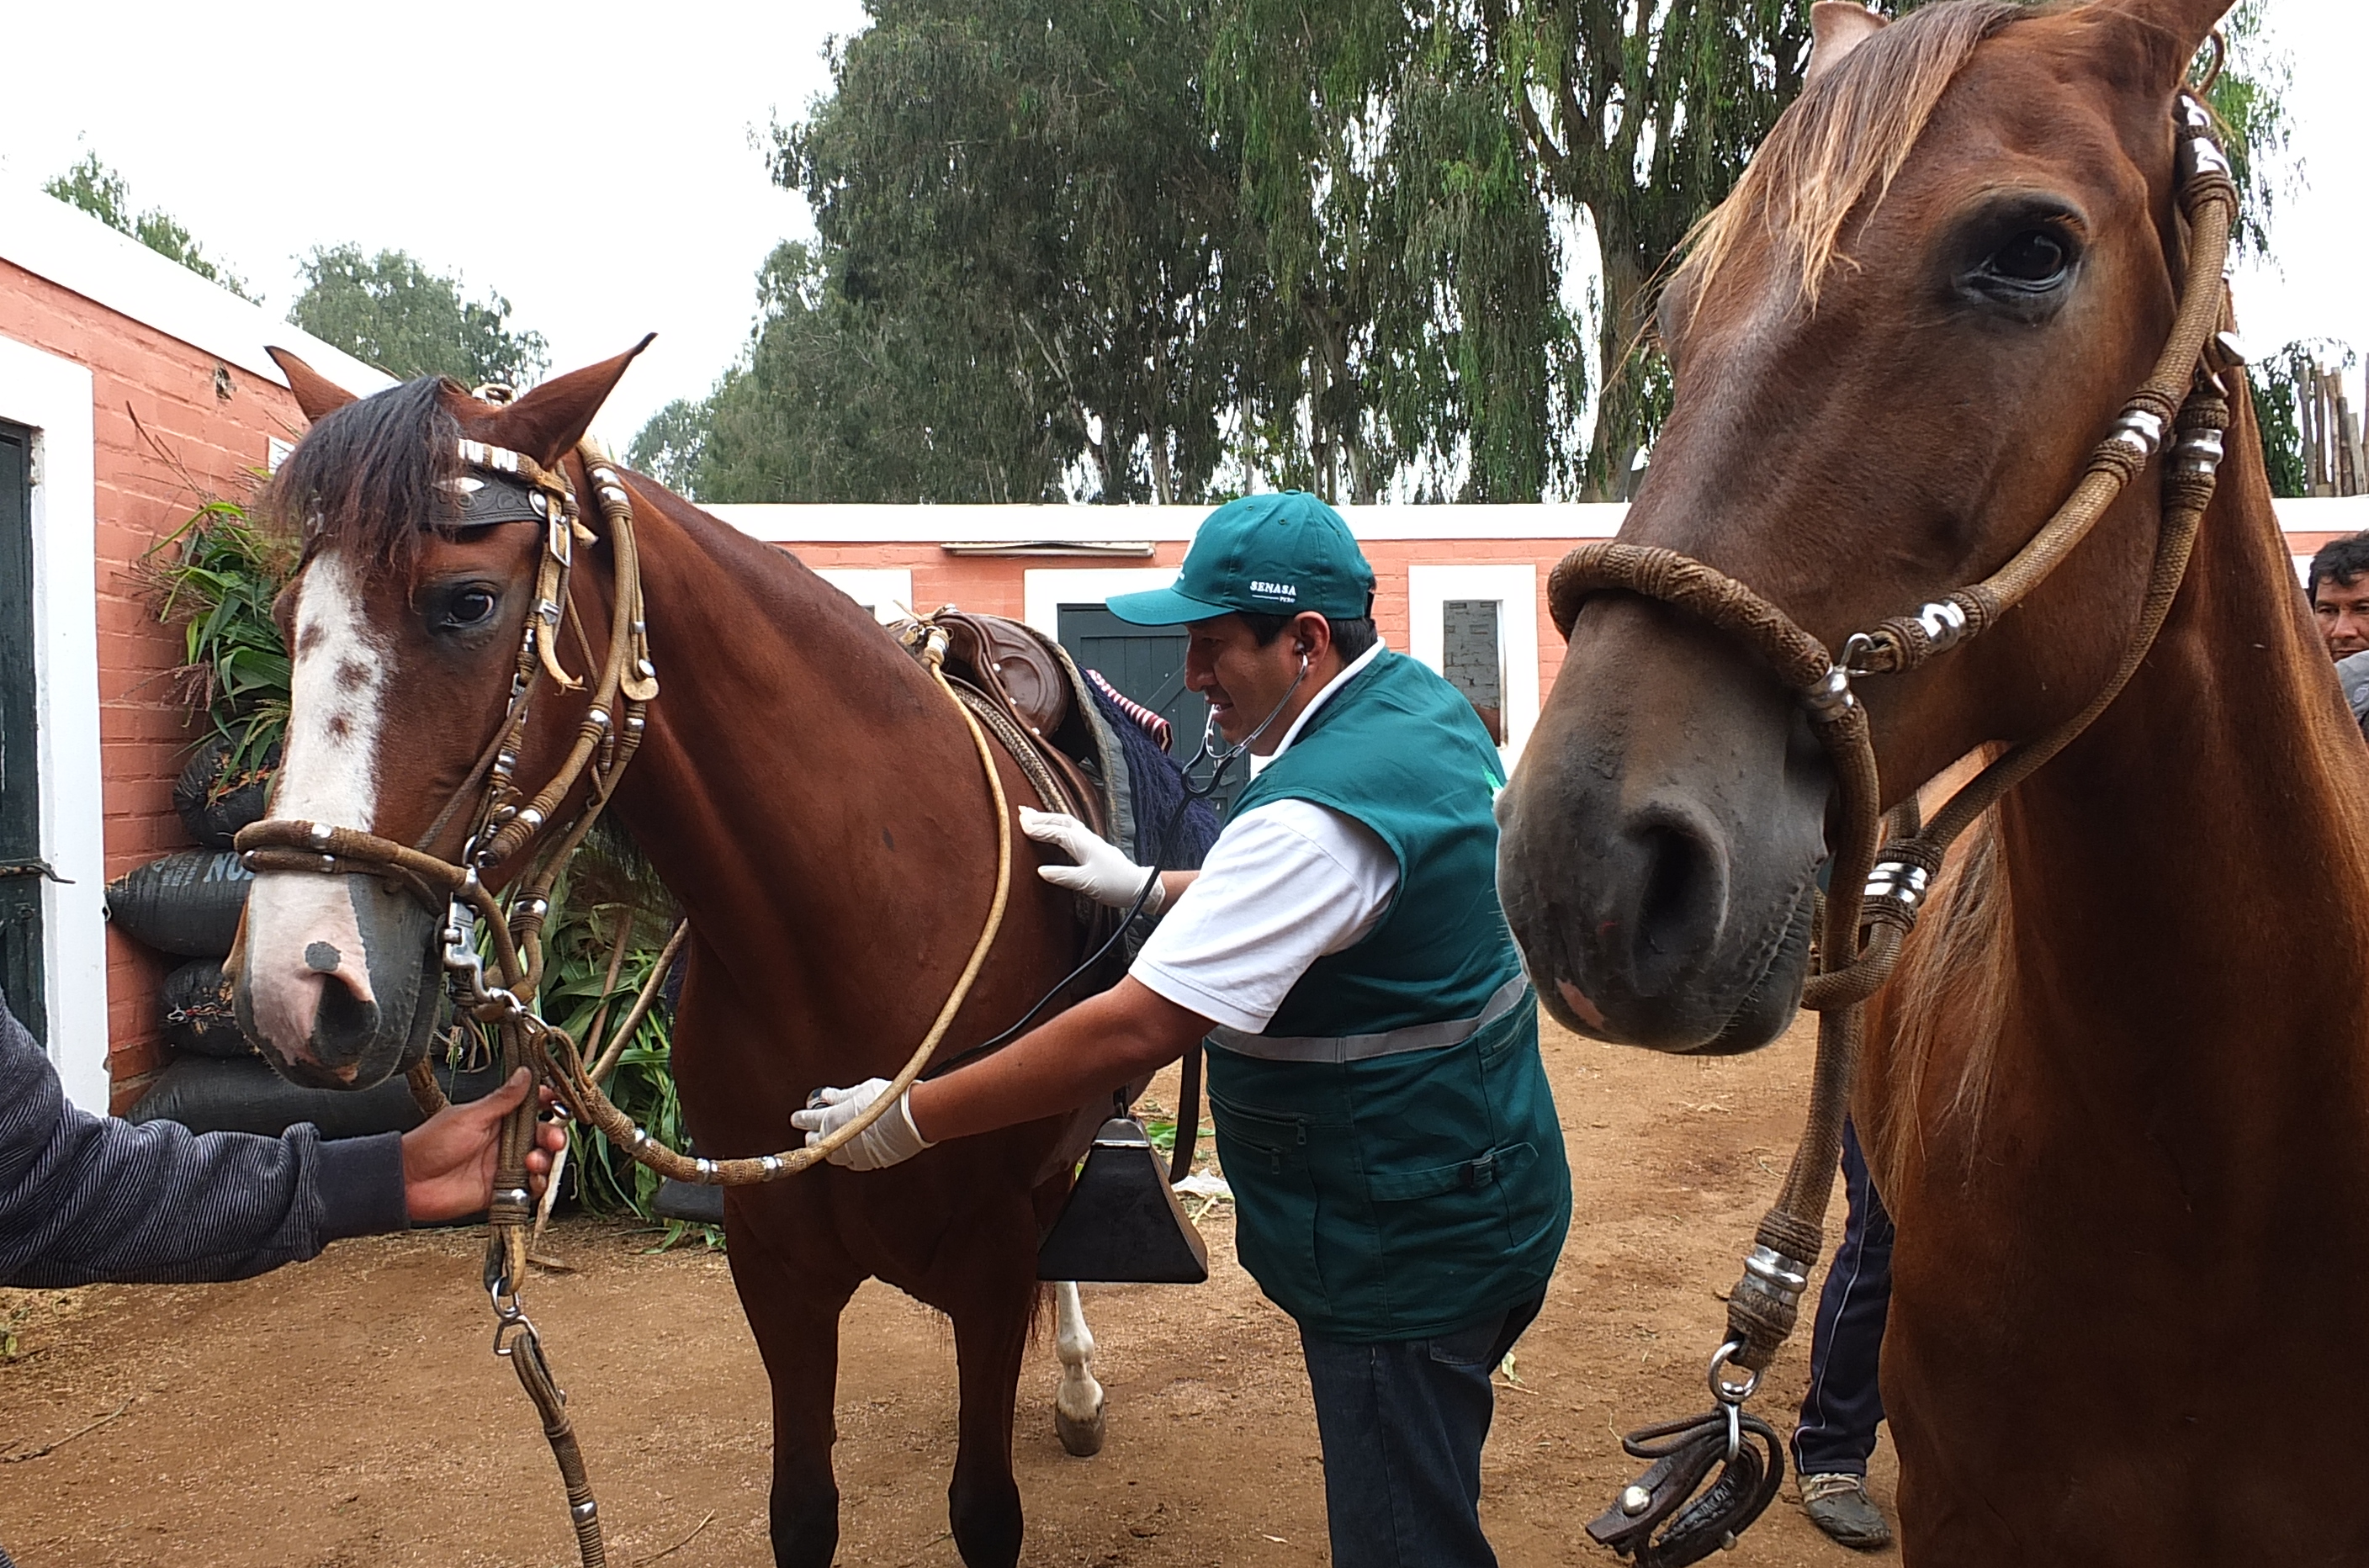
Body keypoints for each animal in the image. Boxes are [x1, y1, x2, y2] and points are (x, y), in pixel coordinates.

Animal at [229, 344, 1124, 1568]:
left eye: (467, 602)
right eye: (286, 615)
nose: (297, 981)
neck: (861, 925)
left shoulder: (991, 1264)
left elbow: (984, 1509)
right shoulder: (775, 1271)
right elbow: (801, 1513)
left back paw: (1077, 1385)